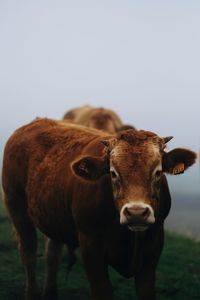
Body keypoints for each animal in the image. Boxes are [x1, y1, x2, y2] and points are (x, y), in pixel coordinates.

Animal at [1, 118, 195, 300]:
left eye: (158, 172)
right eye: (113, 172)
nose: (136, 213)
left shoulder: (153, 248)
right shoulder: (91, 246)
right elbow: (102, 291)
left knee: (52, 254)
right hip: (16, 205)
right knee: (29, 252)